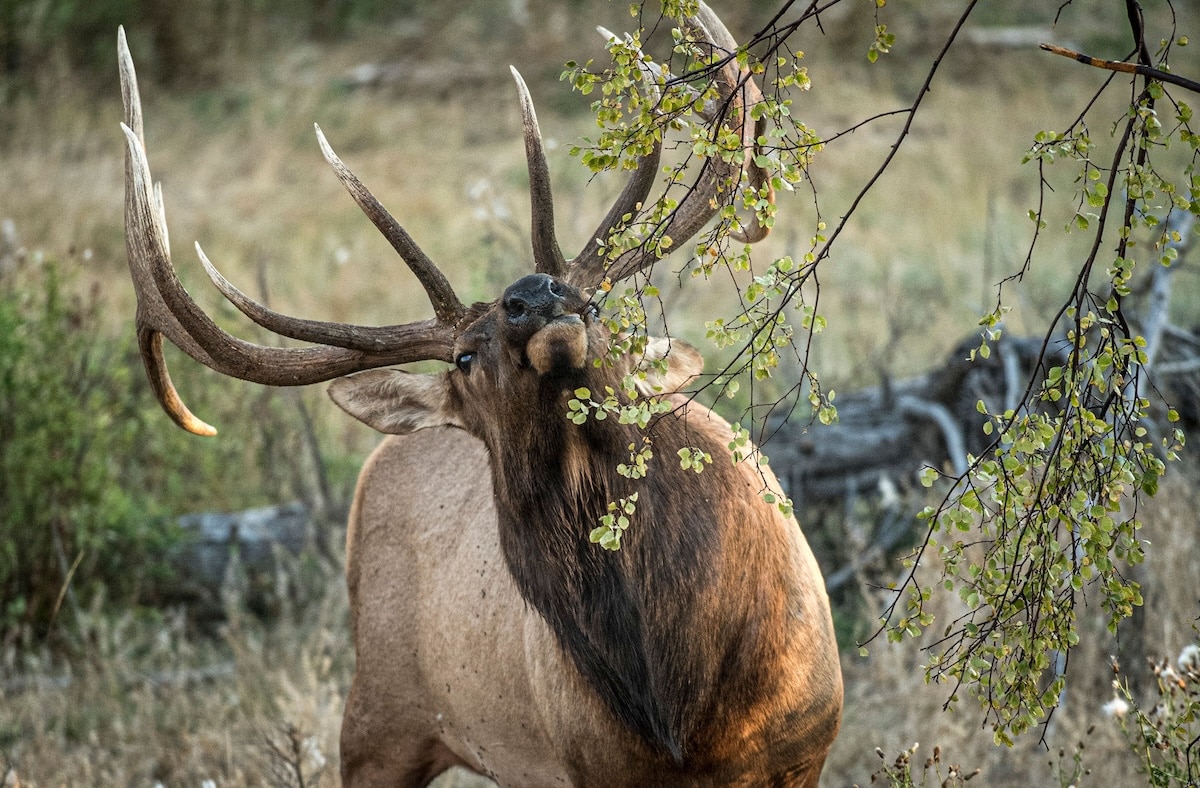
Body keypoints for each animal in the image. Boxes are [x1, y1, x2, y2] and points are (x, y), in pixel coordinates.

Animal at [118, 4, 841, 786]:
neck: (681, 706)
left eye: (596, 307)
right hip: (376, 716)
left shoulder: (805, 746)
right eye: (464, 356)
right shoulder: (589, 766)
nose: (534, 294)